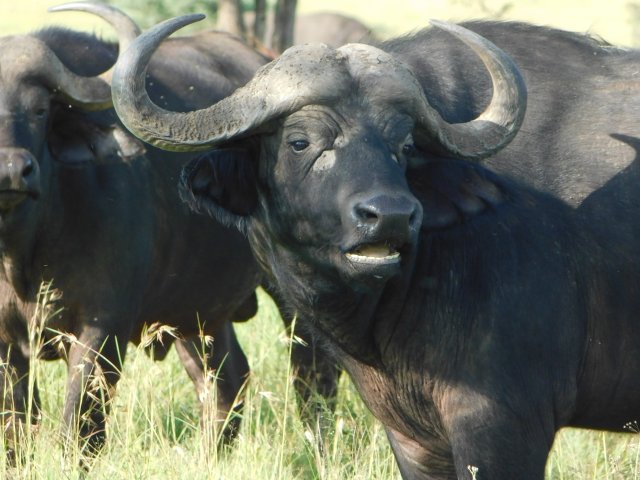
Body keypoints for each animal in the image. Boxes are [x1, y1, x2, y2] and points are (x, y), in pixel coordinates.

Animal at [0, 2, 339, 463]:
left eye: (38, 109)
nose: (13, 170)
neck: (25, 250)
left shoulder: (103, 328)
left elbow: (79, 424)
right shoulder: (7, 344)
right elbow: (15, 426)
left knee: (313, 375)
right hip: (198, 310)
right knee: (226, 380)